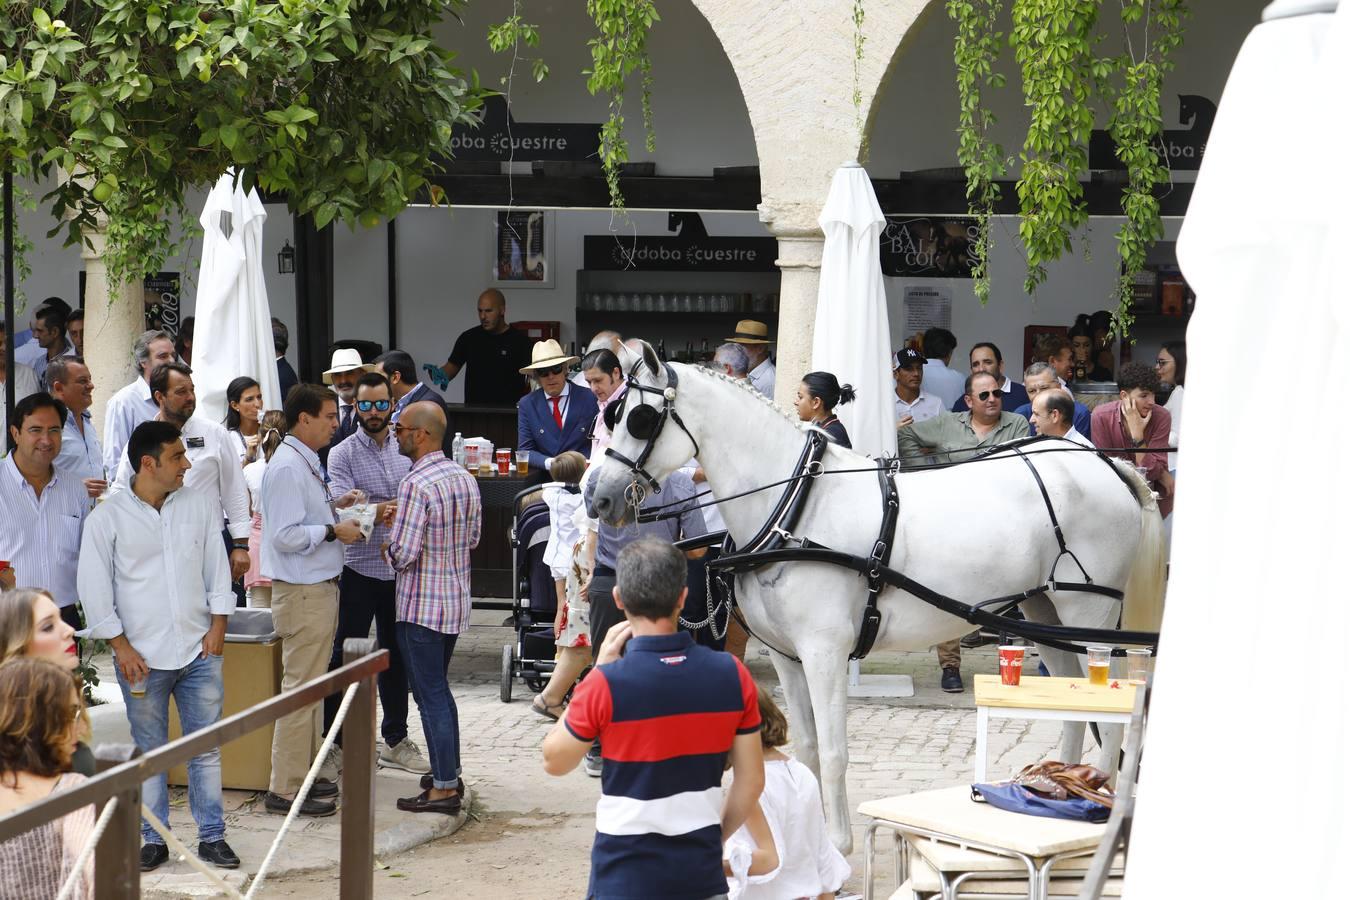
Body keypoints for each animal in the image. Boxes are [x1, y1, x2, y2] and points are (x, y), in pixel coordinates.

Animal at [591, 342, 1171, 852]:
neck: (795, 504)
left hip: (1088, 612)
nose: (597, 495)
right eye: (613, 412)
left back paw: (1097, 803)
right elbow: (805, 748)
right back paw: (1058, 792)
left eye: (637, 418)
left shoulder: (824, 652)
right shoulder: (786, 656)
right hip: (1043, 610)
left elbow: (833, 752)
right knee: (1073, 706)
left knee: (1109, 709)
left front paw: (839, 845)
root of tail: (1105, 464)